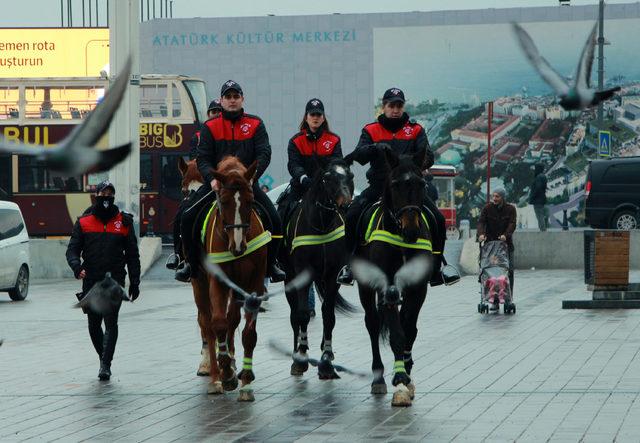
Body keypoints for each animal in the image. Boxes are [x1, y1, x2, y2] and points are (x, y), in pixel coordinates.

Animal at [182, 156, 268, 402]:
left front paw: (246, 383)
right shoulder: (217, 281)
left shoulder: (254, 284)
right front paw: (226, 374)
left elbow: (247, 333)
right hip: (199, 283)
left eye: (250, 200)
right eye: (224, 201)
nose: (237, 246)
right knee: (207, 323)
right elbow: (218, 323)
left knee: (232, 320)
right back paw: (215, 377)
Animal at [282, 160, 360, 382]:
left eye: (350, 176)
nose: (345, 204)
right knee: (294, 316)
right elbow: (301, 315)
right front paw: (301, 355)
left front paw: (326, 359)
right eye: (327, 178)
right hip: (289, 279)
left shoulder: (332, 276)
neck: (322, 224)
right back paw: (296, 354)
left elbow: (329, 315)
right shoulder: (302, 274)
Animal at [350, 150, 436, 410]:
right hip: (366, 287)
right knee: (372, 323)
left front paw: (407, 374)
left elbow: (409, 328)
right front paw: (399, 379)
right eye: (396, 184)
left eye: (421, 184)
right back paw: (378, 378)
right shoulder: (386, 286)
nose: (411, 230)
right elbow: (397, 333)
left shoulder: (418, 288)